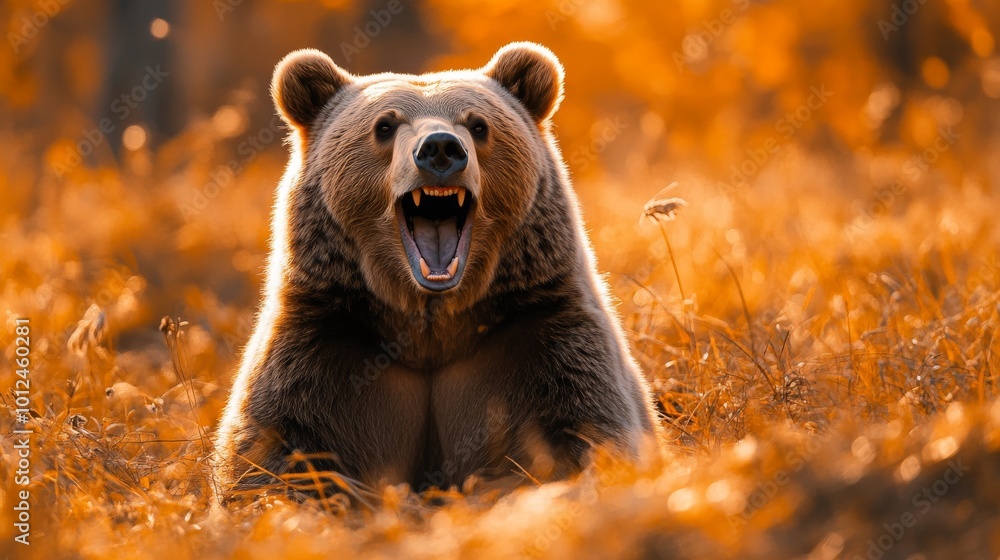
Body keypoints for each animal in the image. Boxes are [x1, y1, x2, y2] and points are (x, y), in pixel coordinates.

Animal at [213, 42, 659, 501]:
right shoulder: (326, 343)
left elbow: (583, 432)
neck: (431, 323)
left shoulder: (540, 333)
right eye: (385, 125)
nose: (440, 148)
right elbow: (277, 447)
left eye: (478, 125)